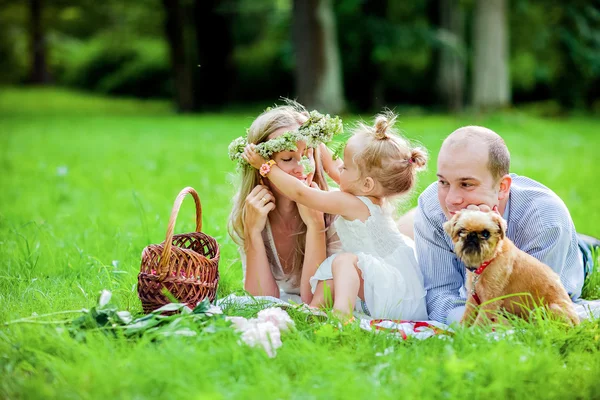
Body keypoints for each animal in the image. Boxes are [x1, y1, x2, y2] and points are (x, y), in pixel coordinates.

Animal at [442, 209, 580, 324]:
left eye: (486, 234)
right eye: (461, 231)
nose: (472, 235)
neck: (487, 261)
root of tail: (577, 323)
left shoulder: (490, 301)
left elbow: (479, 323)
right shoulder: (473, 299)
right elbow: (466, 318)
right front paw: (461, 334)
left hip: (551, 309)